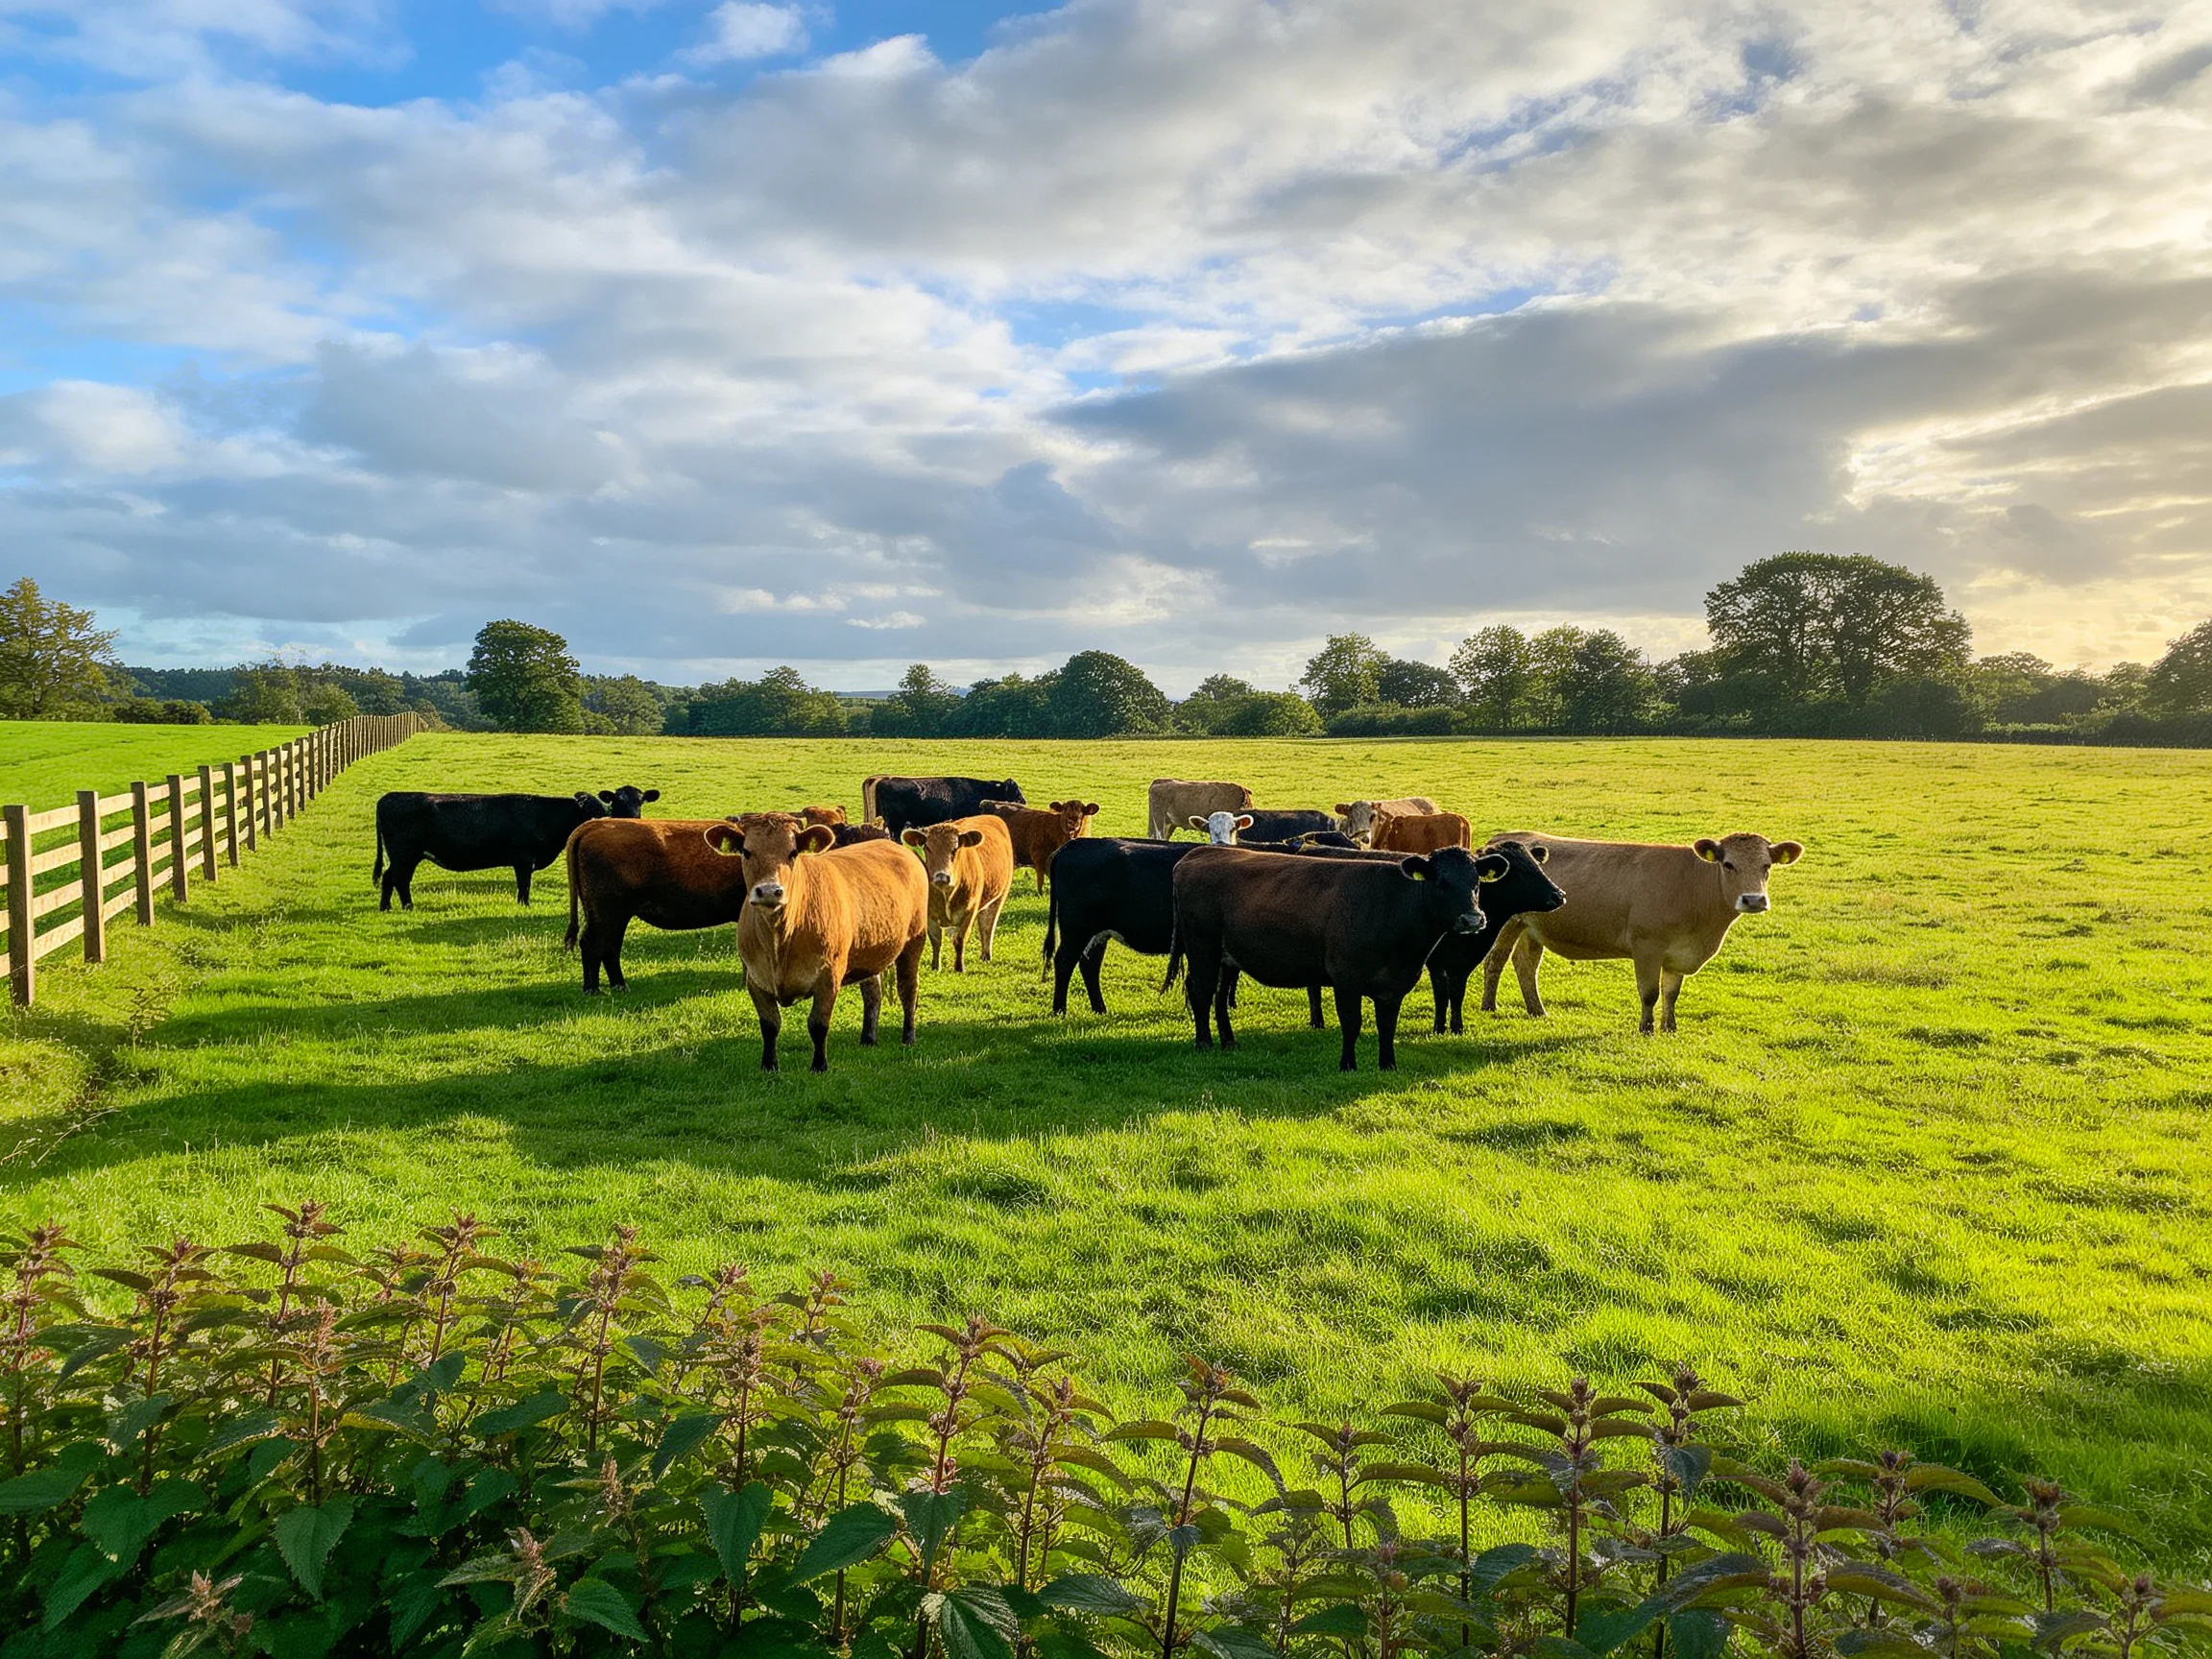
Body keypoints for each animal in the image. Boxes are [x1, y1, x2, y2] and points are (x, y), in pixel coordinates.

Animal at [374, 786, 658, 910]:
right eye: (591, 811)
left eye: (603, 809)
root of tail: (389, 796)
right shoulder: (523, 860)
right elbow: (524, 886)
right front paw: (524, 906)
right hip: (405, 854)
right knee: (397, 879)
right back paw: (405, 907)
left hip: (405, 856)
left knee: (391, 878)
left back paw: (390, 907)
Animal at [703, 812, 930, 1072]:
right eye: (746, 851)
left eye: (793, 852)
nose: (770, 891)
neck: (779, 941)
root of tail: (894, 845)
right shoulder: (755, 978)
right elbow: (769, 1025)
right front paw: (769, 1065)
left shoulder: (829, 976)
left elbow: (818, 1024)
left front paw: (819, 1065)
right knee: (872, 991)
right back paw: (868, 1038)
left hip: (914, 939)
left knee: (908, 988)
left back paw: (908, 1036)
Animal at [901, 815, 1015, 971]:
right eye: (927, 847)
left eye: (955, 849)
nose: (941, 876)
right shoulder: (929, 914)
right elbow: (936, 940)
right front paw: (935, 966)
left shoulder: (970, 910)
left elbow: (960, 939)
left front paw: (959, 967)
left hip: (999, 898)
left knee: (987, 927)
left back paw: (986, 955)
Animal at [1166, 845, 1508, 1070]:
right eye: (1441, 881)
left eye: (1477, 882)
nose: (1473, 919)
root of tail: (1200, 853)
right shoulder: (1346, 979)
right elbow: (1351, 1024)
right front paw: (1348, 1065)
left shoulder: (1394, 985)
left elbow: (1387, 1027)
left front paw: (1387, 1064)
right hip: (1203, 948)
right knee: (1201, 992)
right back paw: (1204, 1043)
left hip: (1228, 959)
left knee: (1219, 996)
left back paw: (1229, 1041)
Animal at [1479, 832, 1805, 1034]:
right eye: (1728, 864)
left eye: (1766, 866)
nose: (1754, 900)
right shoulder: (1647, 945)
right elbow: (1649, 993)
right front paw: (1646, 1030)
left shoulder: (1678, 953)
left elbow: (1671, 993)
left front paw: (1670, 1028)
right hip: (1507, 924)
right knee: (1495, 961)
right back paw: (1489, 1007)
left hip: (1531, 928)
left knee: (1526, 966)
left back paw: (1538, 1011)